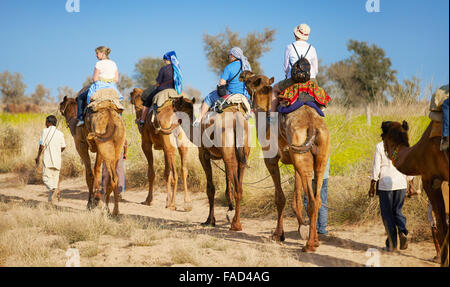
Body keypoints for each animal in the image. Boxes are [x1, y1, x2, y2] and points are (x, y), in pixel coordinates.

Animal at [175, 94, 251, 232]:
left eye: (176, 103)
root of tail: (237, 118)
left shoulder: (203, 155)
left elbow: (210, 189)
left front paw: (209, 221)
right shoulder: (225, 157)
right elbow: (227, 186)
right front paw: (229, 208)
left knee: (237, 187)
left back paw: (236, 225)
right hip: (242, 154)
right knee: (240, 185)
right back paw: (236, 221)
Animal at [239, 71, 330, 252]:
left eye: (250, 80)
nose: (243, 73)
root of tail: (312, 125)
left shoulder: (271, 159)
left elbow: (280, 198)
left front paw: (278, 234)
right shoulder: (294, 162)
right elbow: (296, 198)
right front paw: (301, 227)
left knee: (312, 200)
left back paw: (309, 245)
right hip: (318, 156)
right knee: (317, 199)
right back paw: (315, 240)